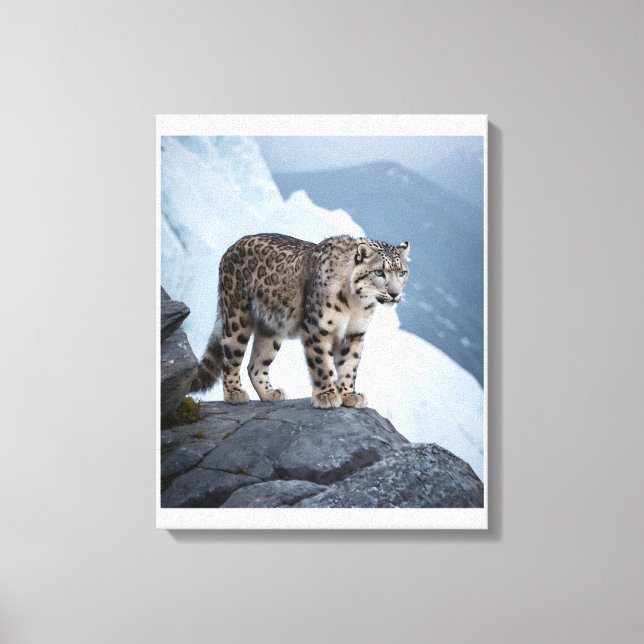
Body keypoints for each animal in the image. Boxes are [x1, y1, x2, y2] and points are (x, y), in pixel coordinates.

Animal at [190, 233, 410, 409]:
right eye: (379, 272)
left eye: (402, 272)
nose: (395, 293)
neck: (356, 305)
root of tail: (231, 247)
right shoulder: (317, 327)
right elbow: (322, 363)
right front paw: (327, 395)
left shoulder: (355, 332)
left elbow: (349, 365)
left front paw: (349, 395)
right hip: (237, 317)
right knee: (231, 357)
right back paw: (234, 393)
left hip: (271, 328)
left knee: (255, 364)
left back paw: (270, 394)